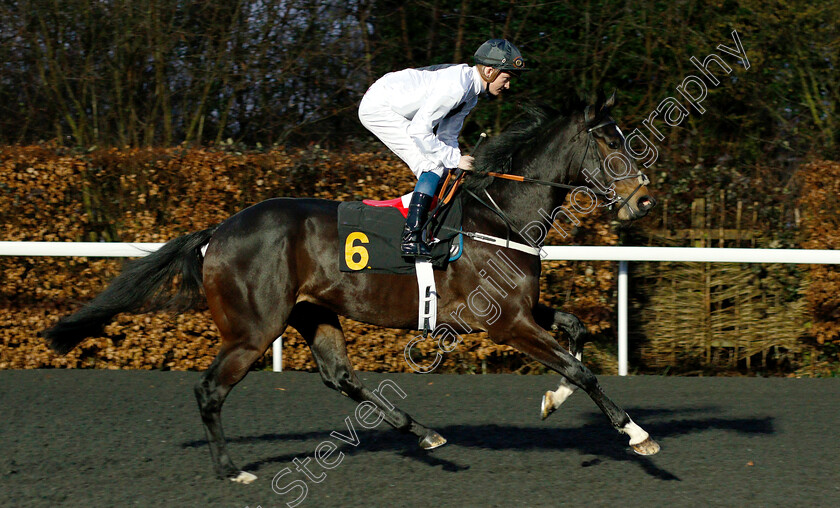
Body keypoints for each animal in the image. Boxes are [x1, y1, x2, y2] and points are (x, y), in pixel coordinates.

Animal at [42, 90, 660, 484]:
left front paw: (554, 400)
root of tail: (217, 231)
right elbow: (579, 367)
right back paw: (231, 470)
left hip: (312, 312)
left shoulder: (520, 309)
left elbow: (575, 334)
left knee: (340, 377)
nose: (645, 200)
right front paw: (635, 433)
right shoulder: (504, 322)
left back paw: (424, 434)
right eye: (611, 146)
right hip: (253, 329)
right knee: (210, 390)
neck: (499, 213)